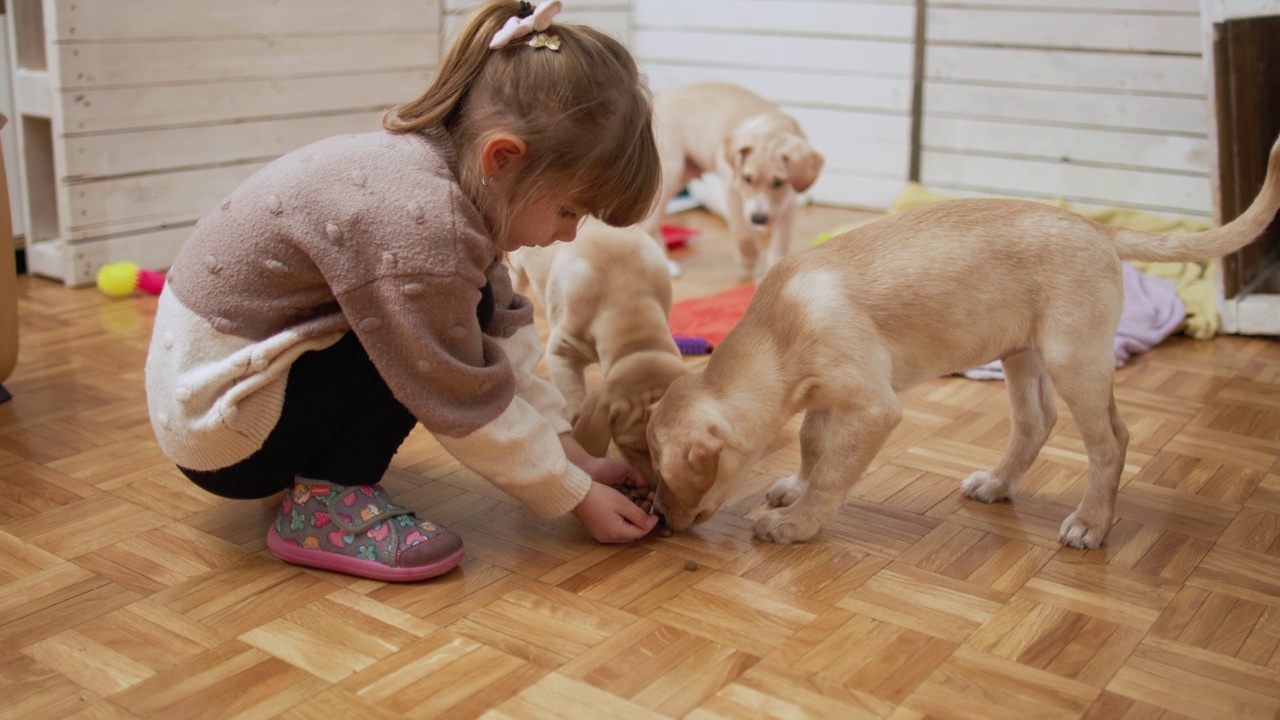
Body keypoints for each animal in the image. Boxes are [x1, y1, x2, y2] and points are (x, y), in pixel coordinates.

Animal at [645, 80, 824, 278]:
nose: (758, 220)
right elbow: (742, 232)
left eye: (778, 183)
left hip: (685, 173)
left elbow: (780, 245)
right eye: (747, 179)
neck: (773, 128)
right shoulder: (733, 192)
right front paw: (747, 258)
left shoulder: (788, 205)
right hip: (670, 175)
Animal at [645, 135, 1280, 548]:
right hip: (1022, 354)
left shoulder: (873, 407)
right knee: (1036, 423)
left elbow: (832, 472)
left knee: (1111, 441)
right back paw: (998, 484)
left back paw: (1091, 524)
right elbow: (811, 445)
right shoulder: (830, 399)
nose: (662, 523)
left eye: (664, 478)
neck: (780, 330)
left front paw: (797, 524)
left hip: (1073, 359)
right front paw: (793, 489)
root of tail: (1097, 228)